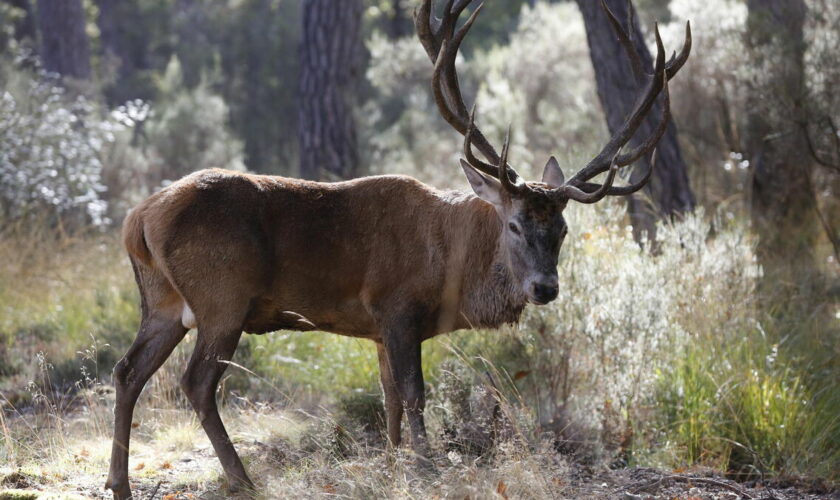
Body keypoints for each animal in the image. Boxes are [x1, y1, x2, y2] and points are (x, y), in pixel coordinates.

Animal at [105, 1, 692, 498]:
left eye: (563, 229)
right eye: (514, 225)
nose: (545, 288)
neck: (450, 266)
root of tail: (138, 218)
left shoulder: (377, 329)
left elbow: (386, 396)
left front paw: (391, 466)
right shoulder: (397, 306)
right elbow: (414, 393)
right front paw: (428, 469)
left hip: (163, 304)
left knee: (127, 371)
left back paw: (120, 482)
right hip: (222, 298)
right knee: (197, 382)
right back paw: (242, 479)